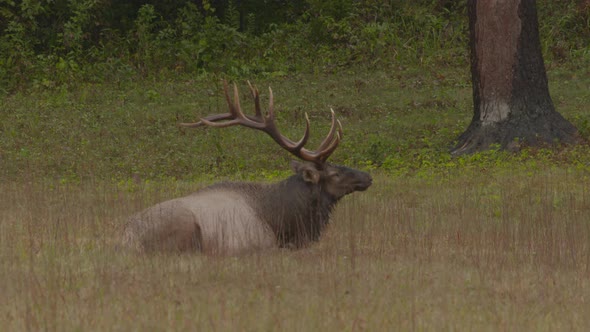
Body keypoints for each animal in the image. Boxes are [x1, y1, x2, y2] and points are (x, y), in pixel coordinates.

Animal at [122, 80, 372, 254]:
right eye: (335, 173)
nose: (368, 176)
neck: (284, 222)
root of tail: (123, 239)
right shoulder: (265, 244)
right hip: (184, 226)